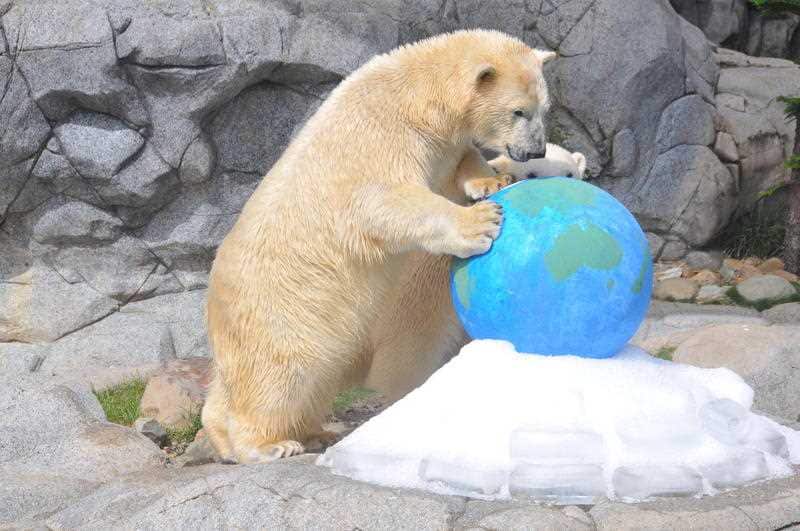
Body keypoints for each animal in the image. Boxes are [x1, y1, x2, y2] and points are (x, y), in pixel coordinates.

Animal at [202, 29, 556, 464]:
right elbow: (386, 201)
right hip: (280, 313)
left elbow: (461, 161)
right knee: (281, 375)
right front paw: (481, 222)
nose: (536, 151)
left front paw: (489, 181)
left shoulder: (440, 144)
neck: (416, 98)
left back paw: (303, 432)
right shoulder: (380, 139)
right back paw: (269, 444)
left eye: (544, 108)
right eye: (518, 111)